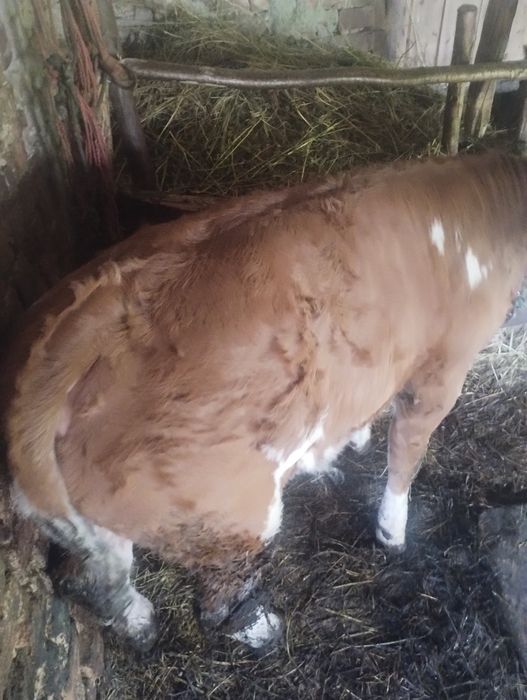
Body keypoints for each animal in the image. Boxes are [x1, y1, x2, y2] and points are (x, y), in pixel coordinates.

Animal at [3, 151, 526, 652]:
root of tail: (85, 328)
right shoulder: (442, 369)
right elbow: (407, 456)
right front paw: (392, 532)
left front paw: (350, 443)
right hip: (230, 515)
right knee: (215, 605)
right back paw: (264, 631)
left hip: (92, 526)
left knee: (84, 580)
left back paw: (140, 626)